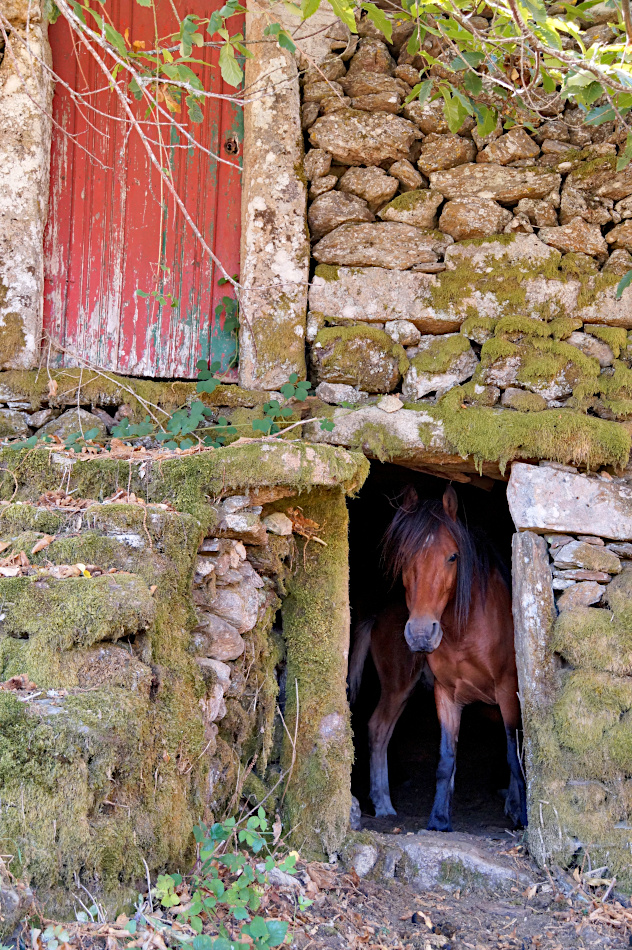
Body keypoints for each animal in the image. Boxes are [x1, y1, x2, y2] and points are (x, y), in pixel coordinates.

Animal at [348, 488, 524, 828]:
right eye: (404, 556)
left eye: (453, 557)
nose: (420, 633)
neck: (467, 629)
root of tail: (377, 615)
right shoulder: (446, 693)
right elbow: (446, 759)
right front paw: (440, 818)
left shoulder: (508, 693)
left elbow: (513, 752)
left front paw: (519, 812)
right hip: (399, 686)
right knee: (378, 729)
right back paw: (383, 803)